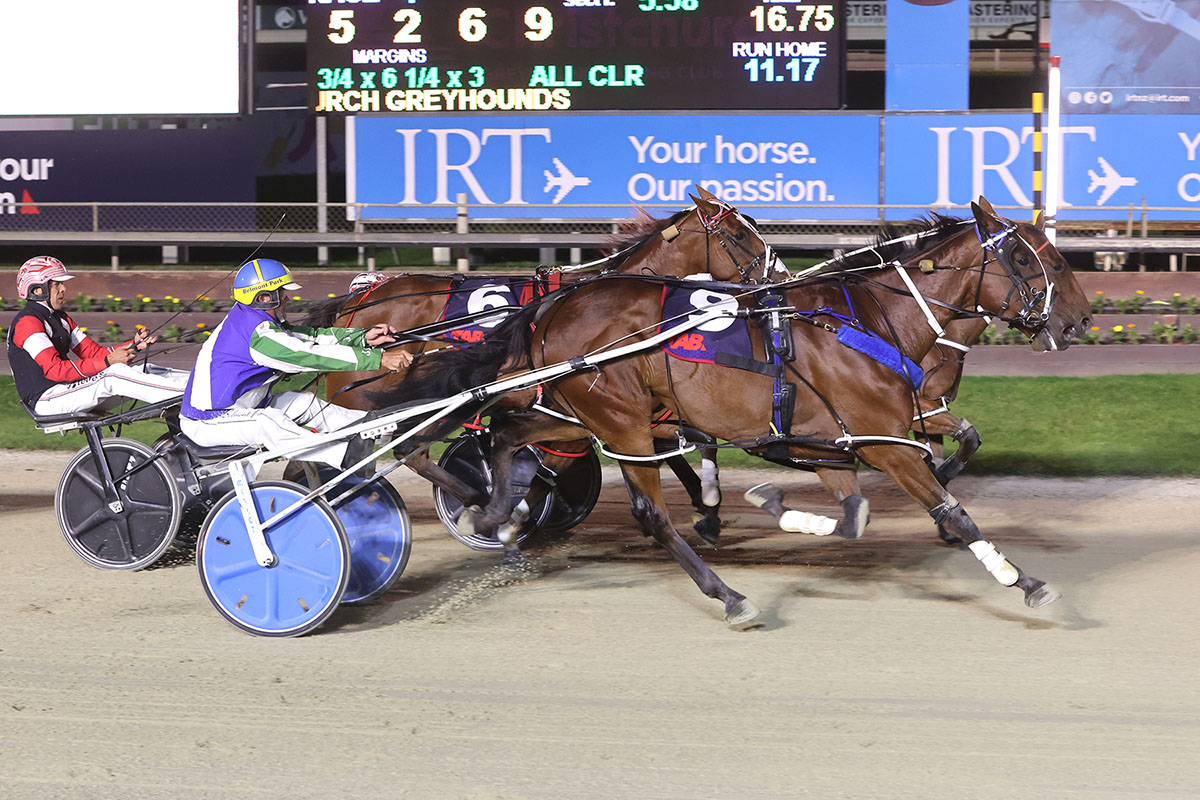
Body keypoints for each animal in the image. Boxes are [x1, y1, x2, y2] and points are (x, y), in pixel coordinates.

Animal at [379, 198, 1092, 627]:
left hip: (573, 410)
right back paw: (729, 595)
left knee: (505, 436)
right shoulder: (881, 440)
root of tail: (553, 306)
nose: (1080, 318)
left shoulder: (848, 438)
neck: (874, 321)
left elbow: (871, 504)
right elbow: (953, 511)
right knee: (647, 512)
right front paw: (1023, 580)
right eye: (1025, 256)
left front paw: (772, 503)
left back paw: (496, 514)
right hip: (622, 422)